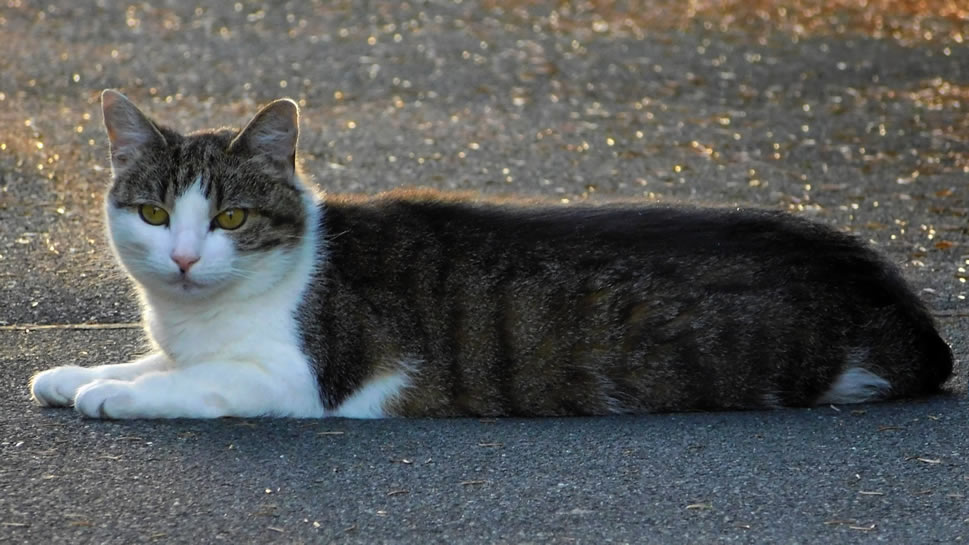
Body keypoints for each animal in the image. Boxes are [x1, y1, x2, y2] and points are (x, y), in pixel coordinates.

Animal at [28, 91, 952, 418]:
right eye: (154, 213)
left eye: (231, 217)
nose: (185, 258)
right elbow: (148, 360)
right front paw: (80, 374)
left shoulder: (296, 379)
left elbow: (192, 384)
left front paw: (115, 395)